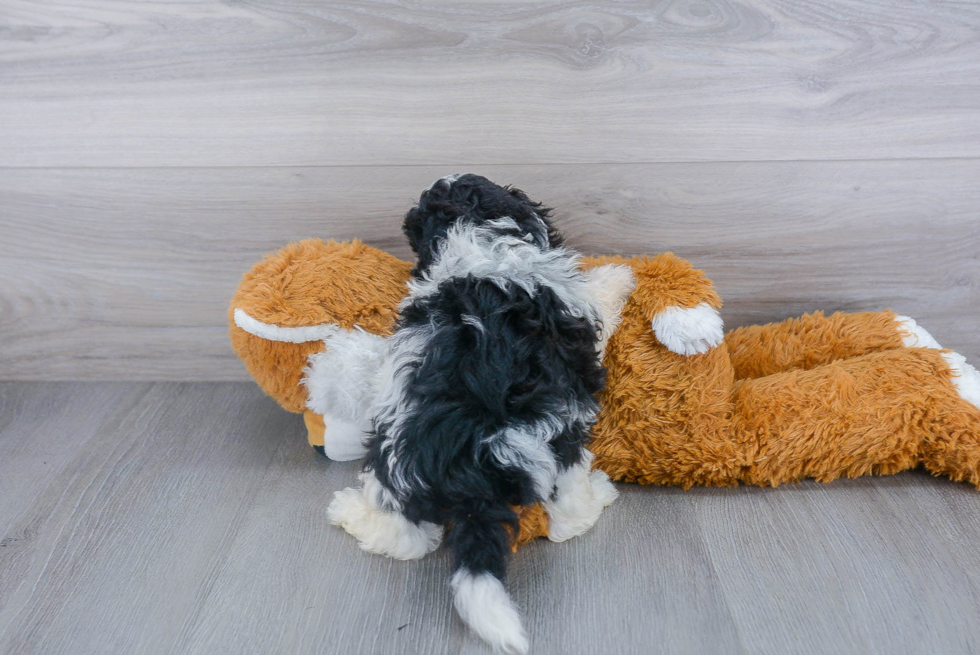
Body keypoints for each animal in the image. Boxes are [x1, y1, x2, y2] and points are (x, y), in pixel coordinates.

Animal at [326, 176, 624, 655]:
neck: (475, 234)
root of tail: (473, 463)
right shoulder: (575, 304)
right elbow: (601, 295)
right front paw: (619, 274)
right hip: (559, 439)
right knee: (569, 511)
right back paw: (597, 494)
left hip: (396, 453)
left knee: (404, 535)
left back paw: (352, 512)